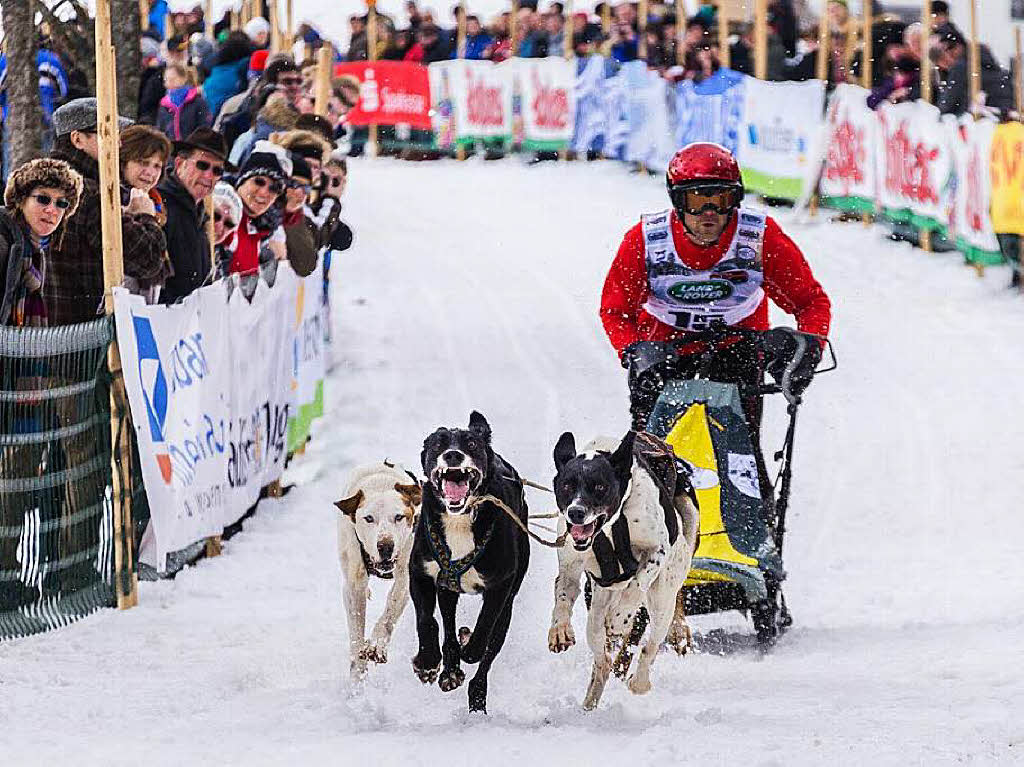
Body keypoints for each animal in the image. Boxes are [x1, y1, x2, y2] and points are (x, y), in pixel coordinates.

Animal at [337, 460, 421, 684]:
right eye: (368, 518)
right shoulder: (353, 584)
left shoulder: (406, 576)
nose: (385, 546)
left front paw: (376, 644)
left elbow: (390, 610)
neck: (380, 483)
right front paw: (357, 676)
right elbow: (356, 629)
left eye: (399, 517)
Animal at [407, 413, 528, 712]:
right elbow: (426, 619)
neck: (459, 519)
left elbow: (485, 624)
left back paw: (476, 692)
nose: (453, 454)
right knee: (448, 629)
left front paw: (471, 648)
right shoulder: (420, 574)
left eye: (471, 444)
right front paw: (427, 662)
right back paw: (450, 670)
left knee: (489, 651)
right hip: (447, 591)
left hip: (508, 603)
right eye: (439, 444)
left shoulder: (500, 586)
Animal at [548, 434, 700, 708]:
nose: (576, 513)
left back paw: (640, 681)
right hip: (597, 611)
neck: (613, 524)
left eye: (599, 487)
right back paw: (592, 696)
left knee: (650, 646)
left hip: (662, 599)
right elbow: (563, 595)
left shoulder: (656, 551)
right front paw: (559, 630)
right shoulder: (570, 567)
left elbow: (637, 586)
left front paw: (622, 614)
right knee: (601, 657)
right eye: (566, 486)